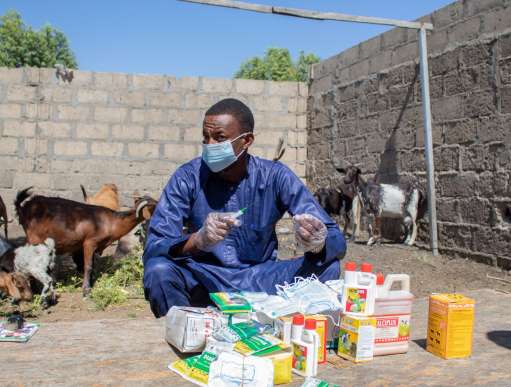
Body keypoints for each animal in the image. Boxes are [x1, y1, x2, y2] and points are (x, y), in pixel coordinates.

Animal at [16, 189, 157, 296]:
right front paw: (86, 291)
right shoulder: (89, 243)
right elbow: (88, 267)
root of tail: (25, 207)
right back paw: (35, 291)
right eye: (153, 205)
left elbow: (89, 266)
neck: (111, 222)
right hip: (34, 240)